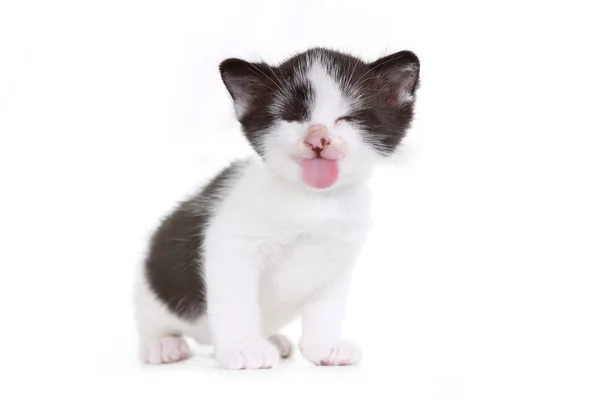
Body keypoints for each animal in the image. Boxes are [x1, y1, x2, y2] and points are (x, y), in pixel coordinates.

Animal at [134, 47, 420, 368]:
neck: (312, 201)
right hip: (154, 281)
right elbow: (236, 298)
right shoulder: (230, 245)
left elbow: (329, 306)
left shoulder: (341, 252)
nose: (318, 137)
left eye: (347, 118)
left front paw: (325, 344)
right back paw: (163, 345)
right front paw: (244, 347)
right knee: (153, 322)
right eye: (292, 117)